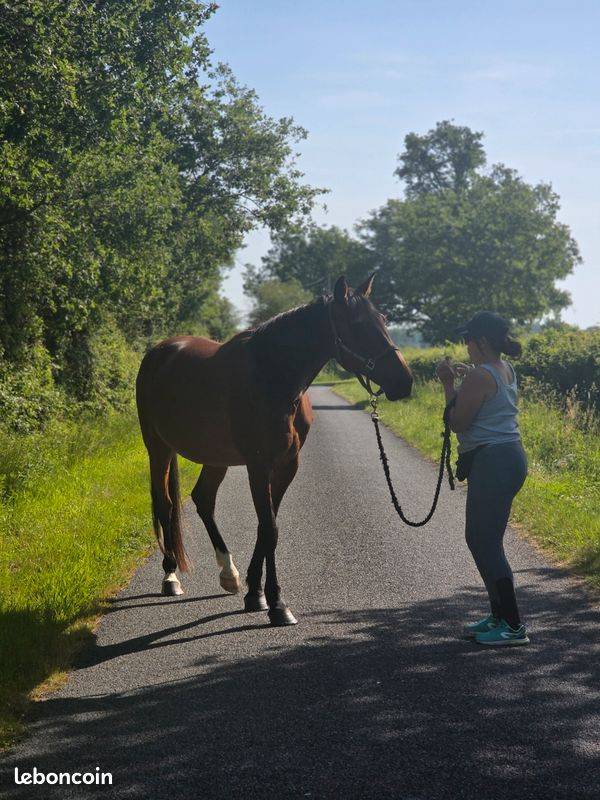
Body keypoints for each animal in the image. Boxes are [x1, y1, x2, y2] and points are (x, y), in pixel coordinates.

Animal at [135, 273, 413, 626]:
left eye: (384, 319)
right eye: (359, 324)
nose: (405, 380)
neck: (272, 377)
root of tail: (159, 351)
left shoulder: (287, 465)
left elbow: (267, 527)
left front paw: (256, 594)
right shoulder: (259, 465)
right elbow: (270, 528)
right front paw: (278, 604)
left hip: (215, 457)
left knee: (203, 499)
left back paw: (229, 573)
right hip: (158, 448)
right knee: (165, 502)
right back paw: (171, 576)